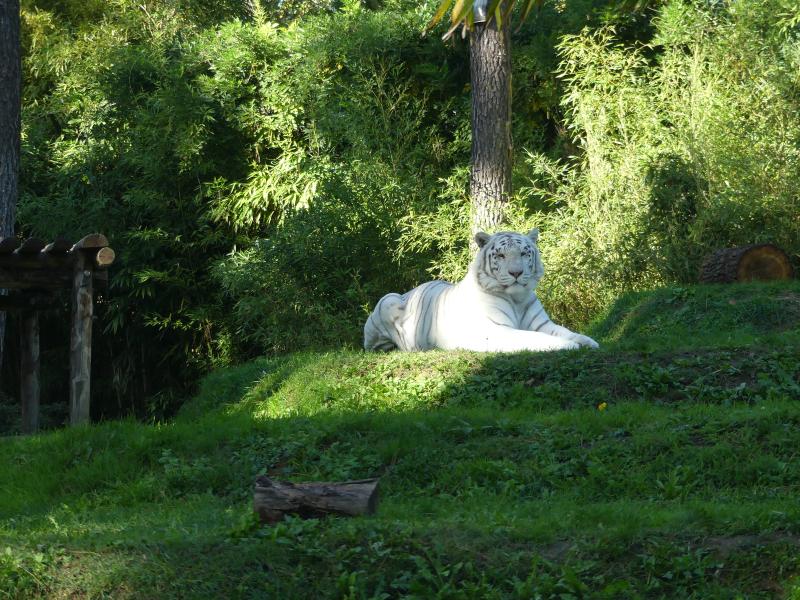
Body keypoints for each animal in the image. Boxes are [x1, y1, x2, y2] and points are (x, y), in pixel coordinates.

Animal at [363, 229, 599, 352]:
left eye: (524, 253)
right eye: (501, 255)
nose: (516, 273)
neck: (517, 299)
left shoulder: (543, 324)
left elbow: (567, 331)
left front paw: (589, 341)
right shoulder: (496, 330)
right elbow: (535, 338)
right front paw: (568, 345)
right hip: (388, 300)